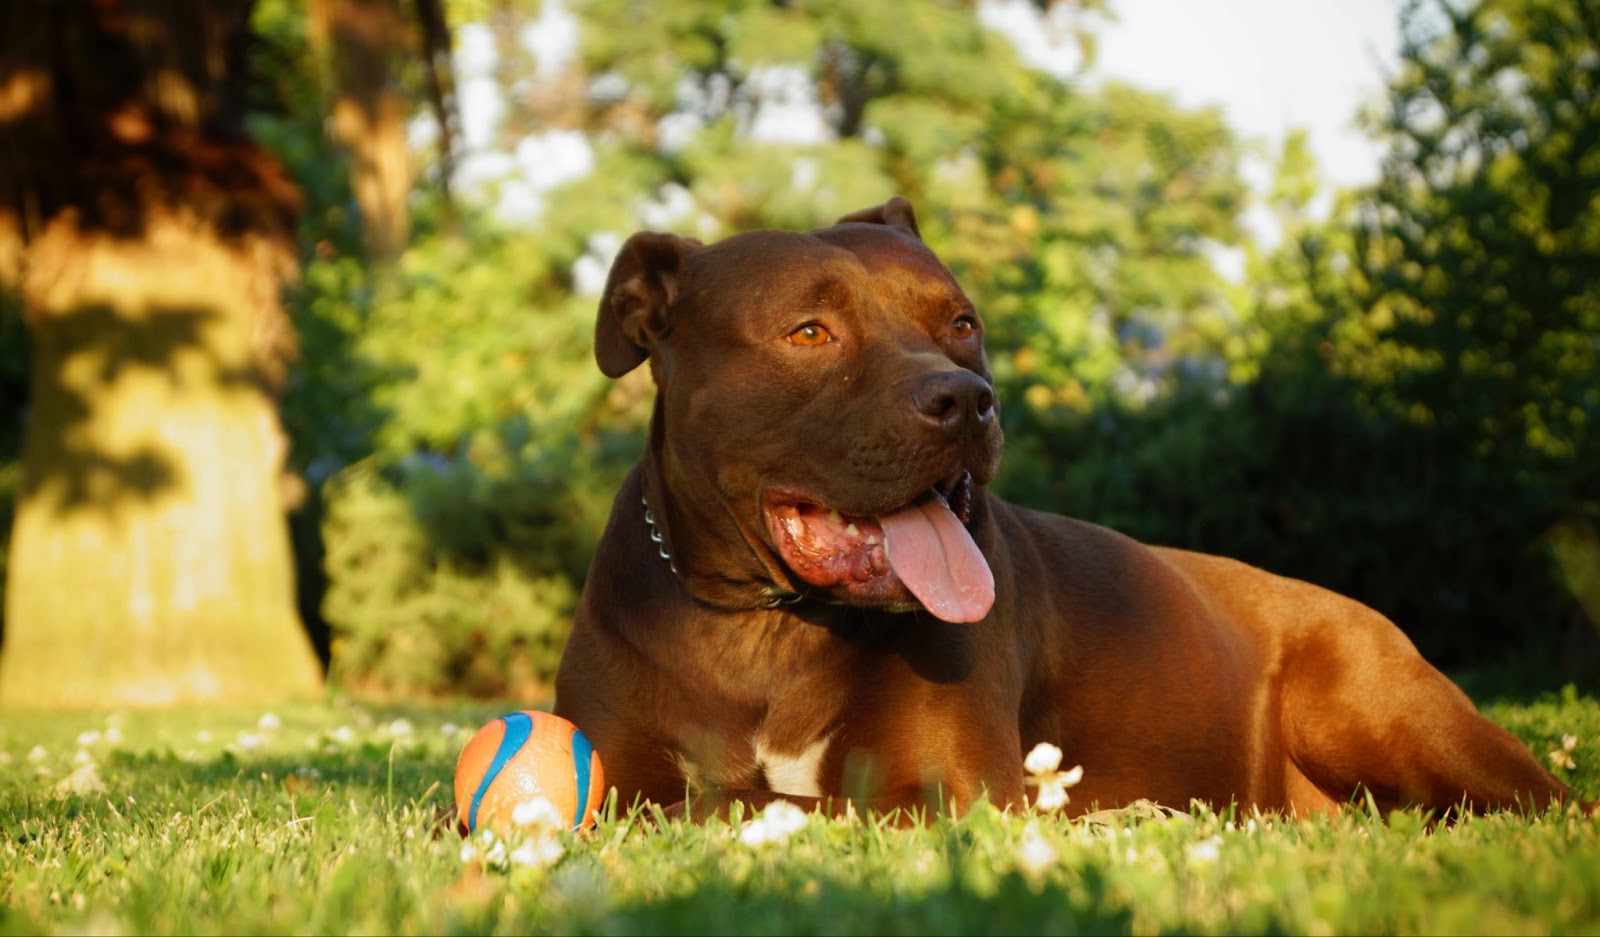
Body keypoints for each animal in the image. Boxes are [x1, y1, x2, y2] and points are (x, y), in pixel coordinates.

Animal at [553, 195, 1587, 818]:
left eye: (961, 322)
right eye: (809, 332)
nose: (965, 400)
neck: (767, 627)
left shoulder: (948, 791)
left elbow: (777, 802)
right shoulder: (617, 766)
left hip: (1386, 711)